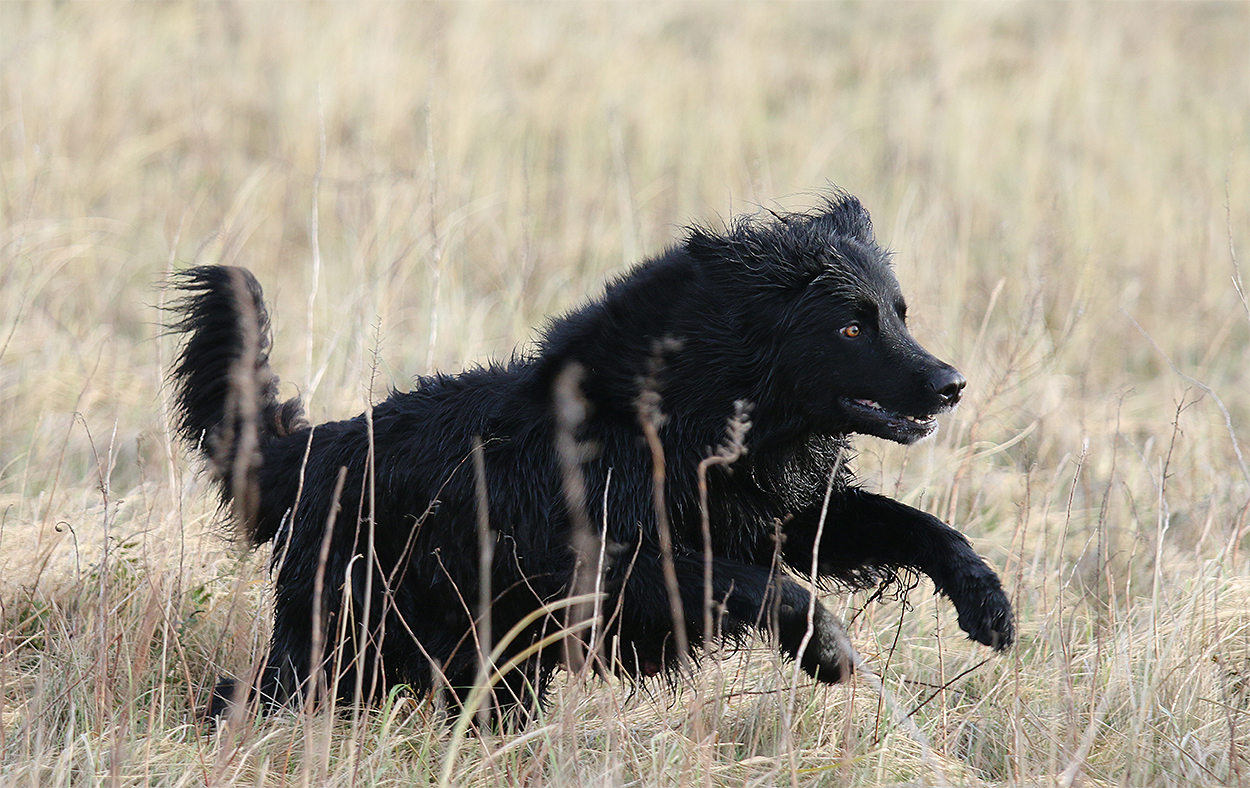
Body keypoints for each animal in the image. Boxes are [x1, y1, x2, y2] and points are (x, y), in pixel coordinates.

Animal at [168, 191, 1014, 724]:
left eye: (900, 314)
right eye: (850, 328)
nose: (951, 385)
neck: (679, 415)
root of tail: (322, 444)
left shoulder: (775, 517)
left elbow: (914, 525)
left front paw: (988, 603)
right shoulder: (605, 565)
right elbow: (761, 585)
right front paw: (829, 651)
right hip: (346, 638)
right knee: (245, 697)